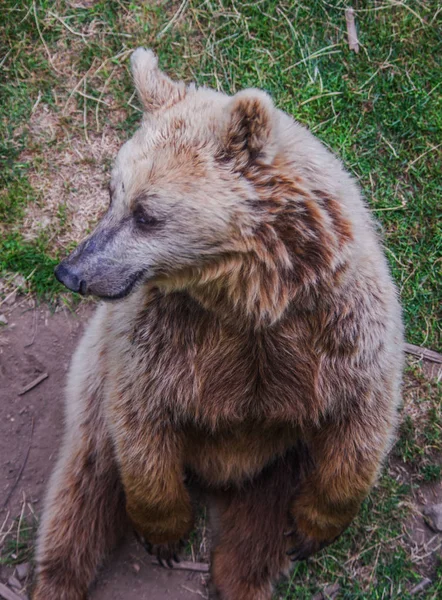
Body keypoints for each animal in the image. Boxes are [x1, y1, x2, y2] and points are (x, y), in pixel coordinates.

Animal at [32, 48, 402, 600]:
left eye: (146, 213)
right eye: (111, 193)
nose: (72, 271)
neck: (251, 298)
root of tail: (224, 478)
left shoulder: (336, 327)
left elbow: (360, 422)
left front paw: (311, 529)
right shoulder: (162, 340)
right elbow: (142, 427)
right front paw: (164, 535)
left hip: (278, 466)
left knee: (255, 540)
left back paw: (241, 574)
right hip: (90, 396)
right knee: (82, 493)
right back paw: (57, 580)